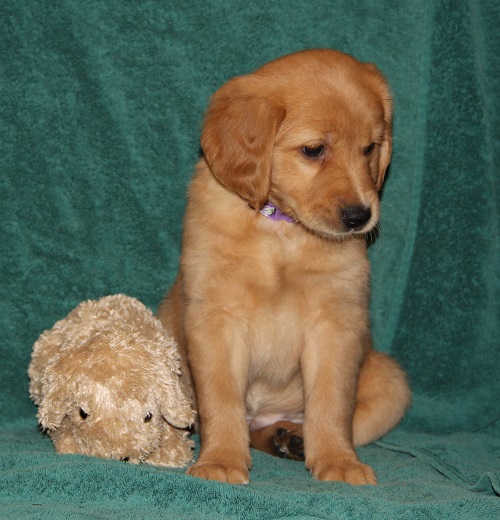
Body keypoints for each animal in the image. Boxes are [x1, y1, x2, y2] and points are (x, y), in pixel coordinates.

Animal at [159, 48, 410, 484]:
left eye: (369, 148)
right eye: (313, 150)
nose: (360, 216)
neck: (281, 229)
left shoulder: (336, 322)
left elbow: (331, 404)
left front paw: (338, 461)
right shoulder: (216, 317)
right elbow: (221, 399)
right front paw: (220, 460)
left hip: (391, 381)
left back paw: (290, 437)